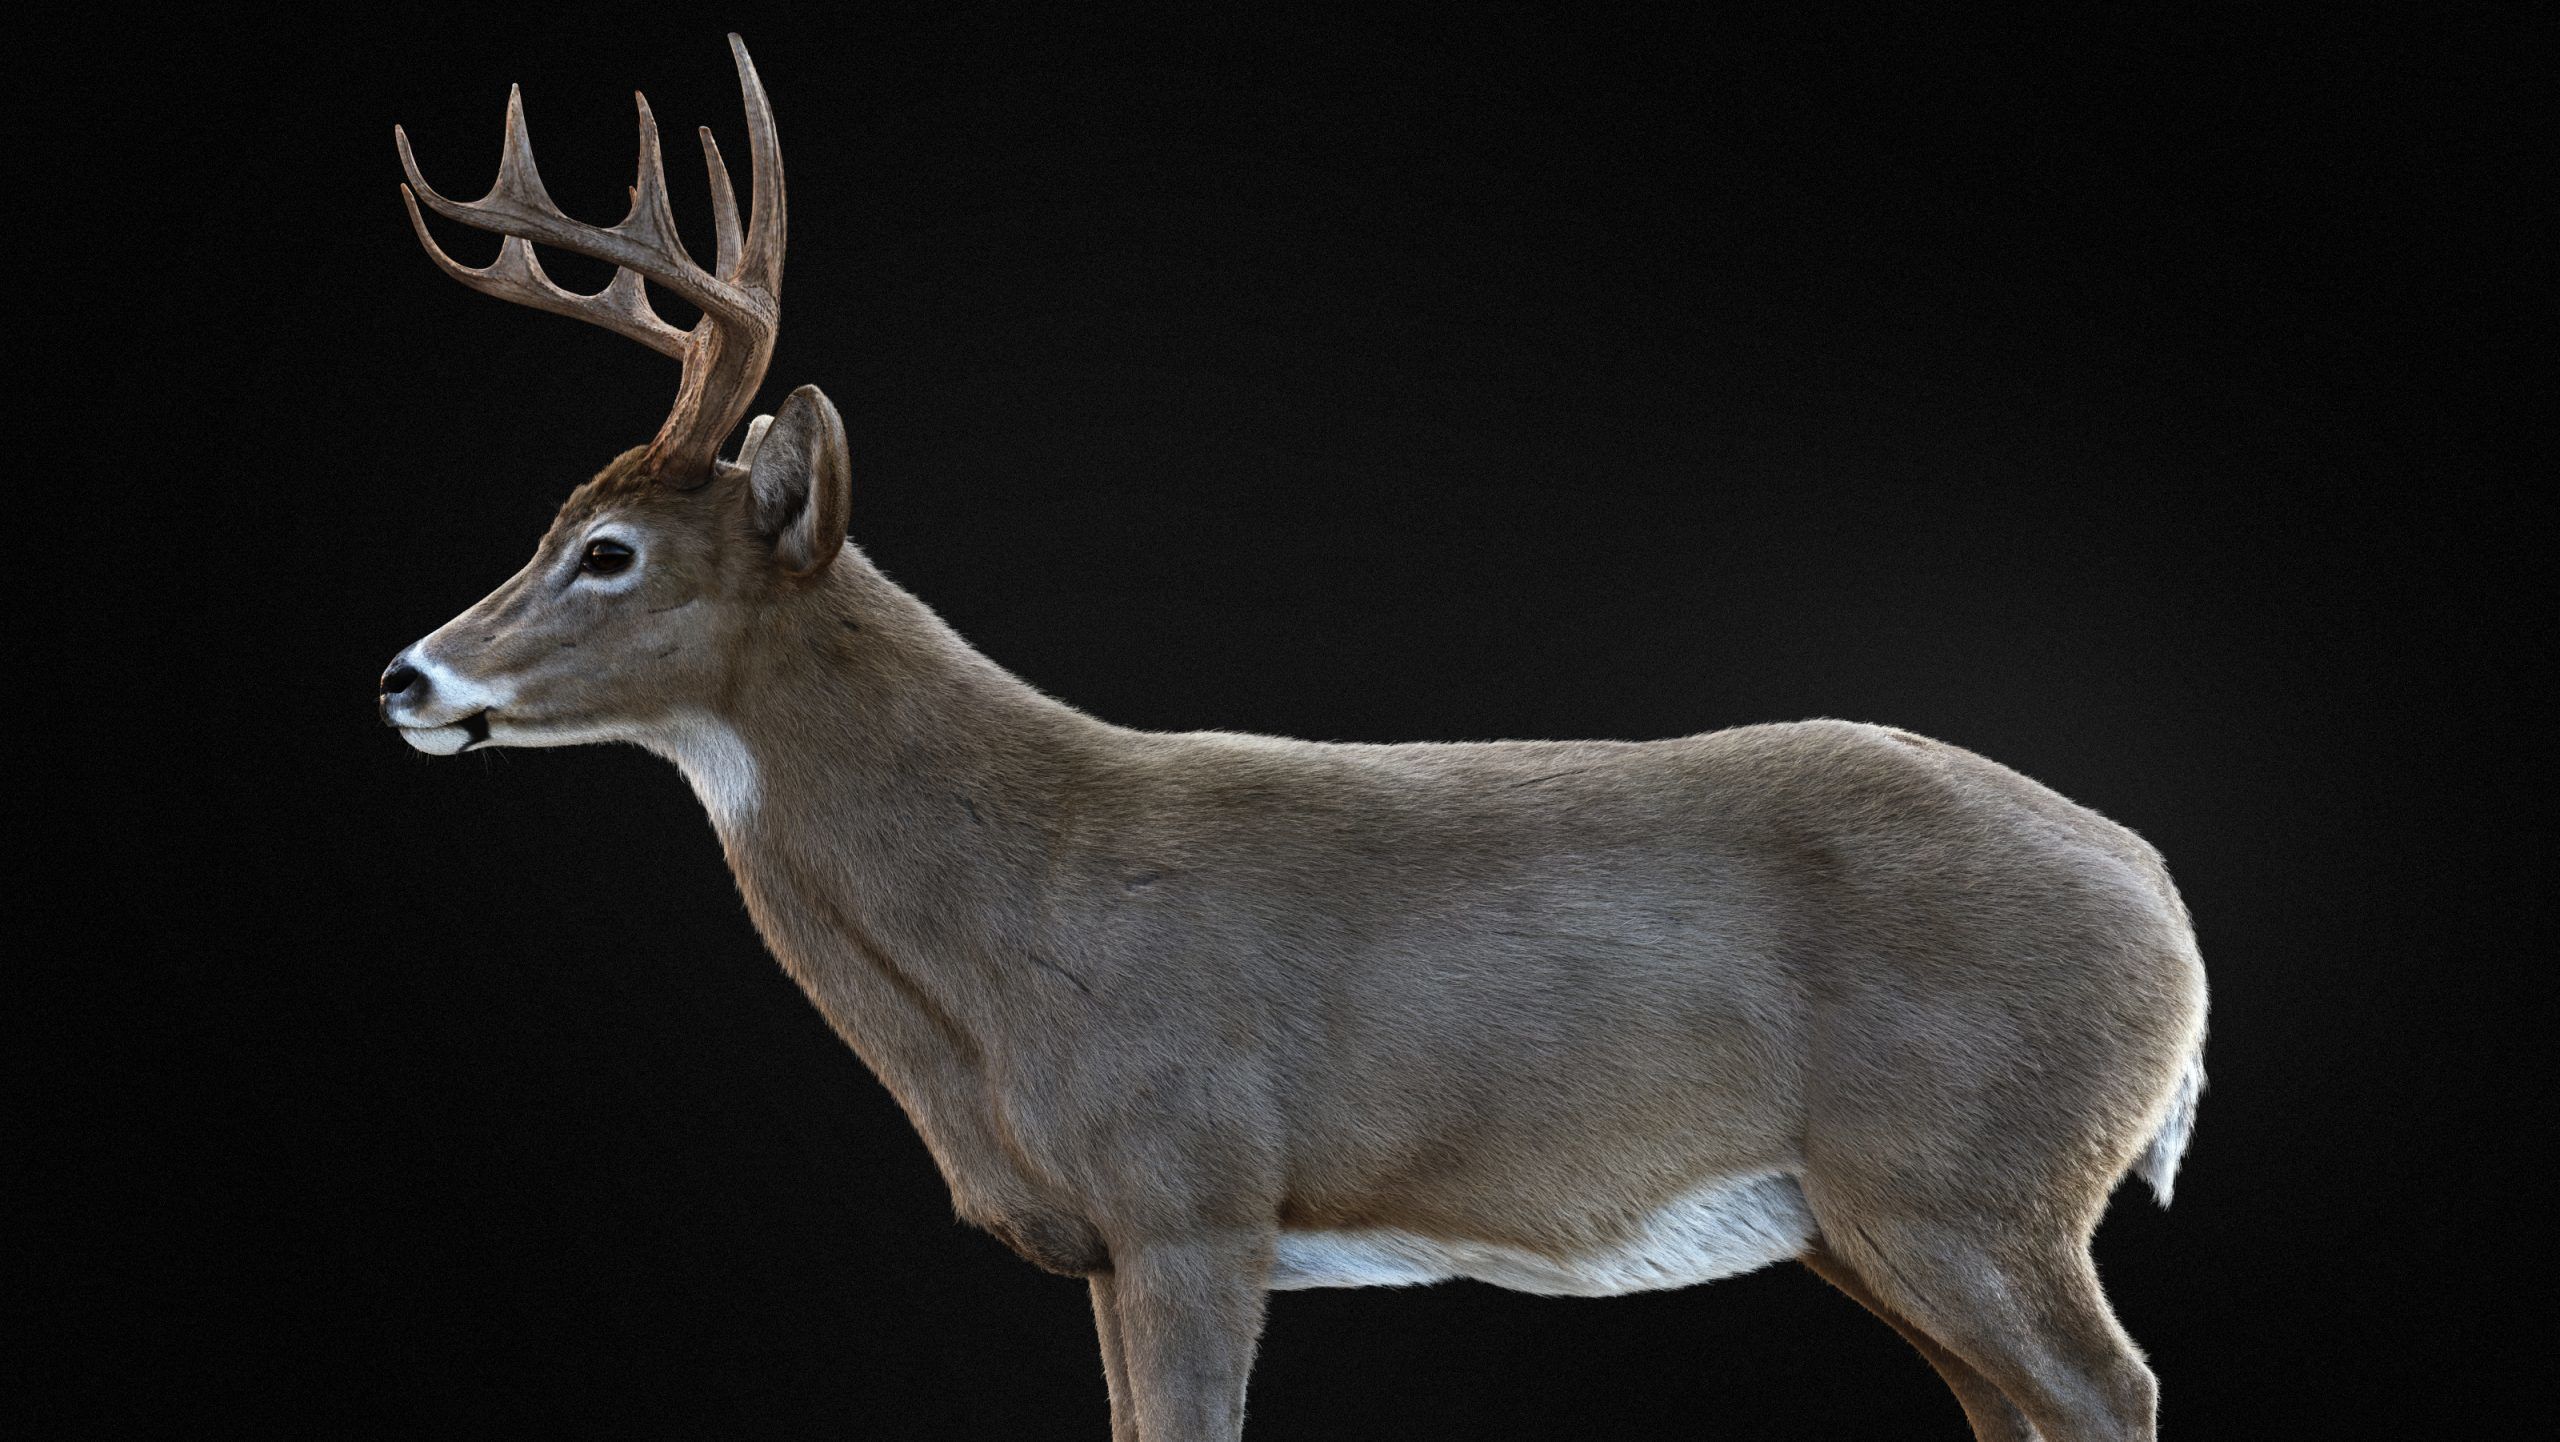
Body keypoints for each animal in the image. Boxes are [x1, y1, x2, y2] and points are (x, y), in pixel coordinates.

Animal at [379, 35, 2208, 1442]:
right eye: (554, 522)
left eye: (608, 550)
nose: (406, 676)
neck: (1010, 926)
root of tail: (2171, 913)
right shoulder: (1116, 1240)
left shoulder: (1193, 1191)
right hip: (1878, 1213)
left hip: (1972, 1174)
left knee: (2113, 1391)